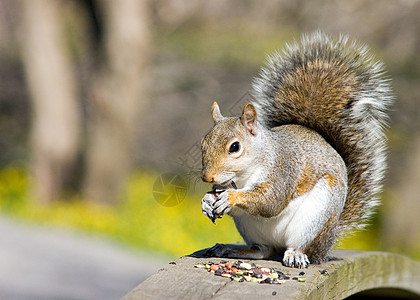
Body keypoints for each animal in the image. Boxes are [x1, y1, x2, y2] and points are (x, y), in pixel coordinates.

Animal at [199, 31, 392, 268]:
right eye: (203, 143)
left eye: (235, 147)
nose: (207, 177)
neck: (244, 175)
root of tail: (329, 241)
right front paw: (207, 201)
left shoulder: (283, 171)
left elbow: (269, 202)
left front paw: (230, 197)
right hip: (249, 227)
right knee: (262, 250)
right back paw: (234, 250)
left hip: (315, 217)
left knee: (300, 246)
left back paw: (296, 255)